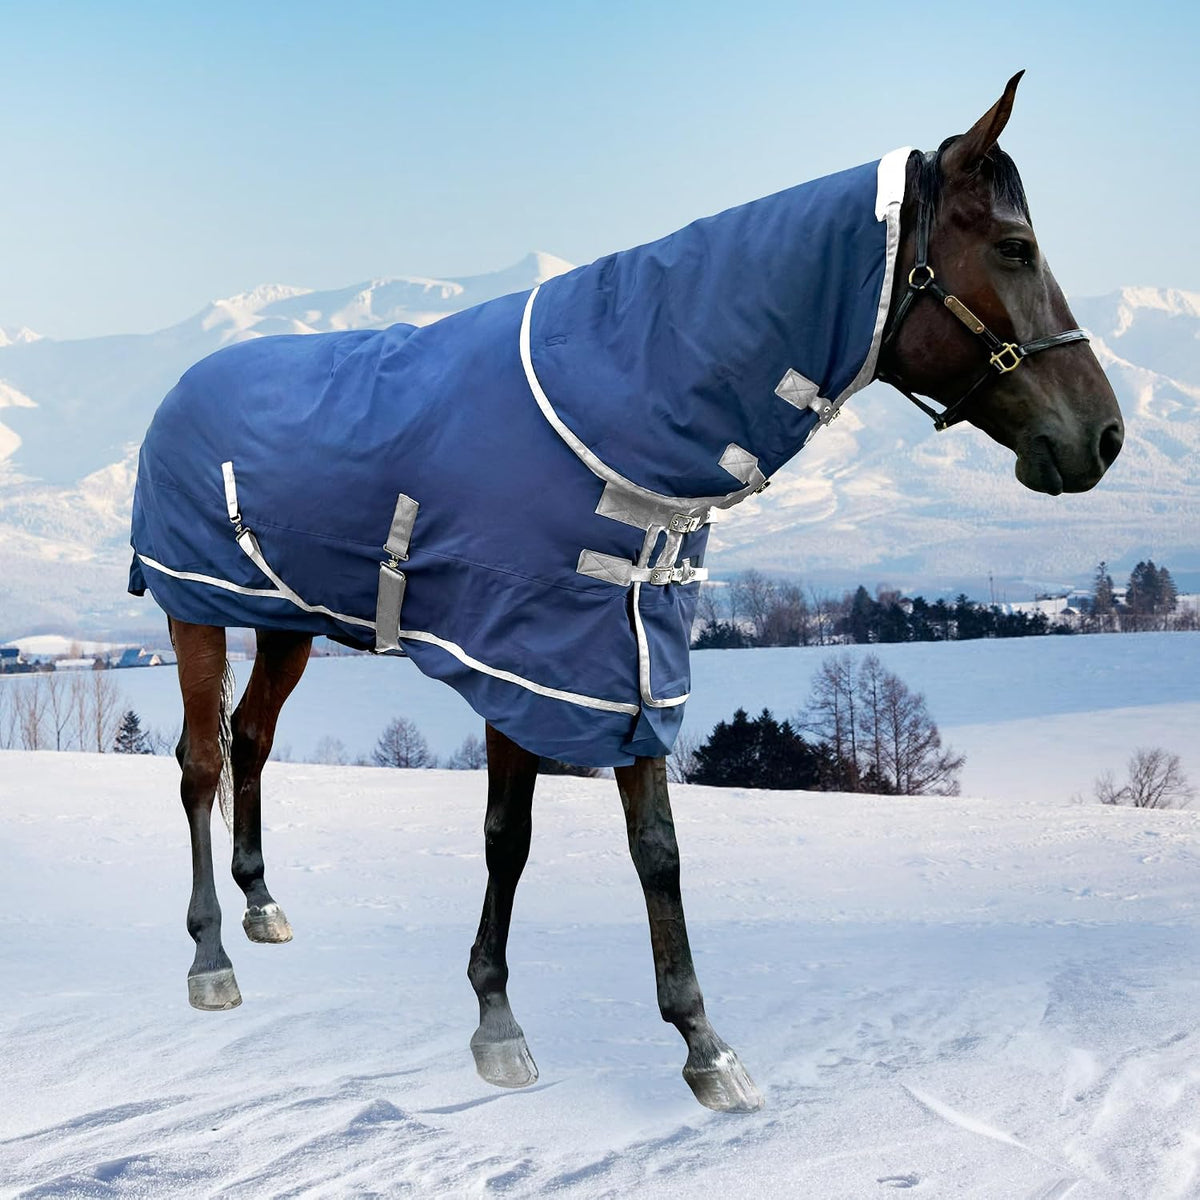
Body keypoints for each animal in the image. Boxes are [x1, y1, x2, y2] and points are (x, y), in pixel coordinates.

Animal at [129, 72, 1122, 1114]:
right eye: (1015, 248)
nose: (1103, 436)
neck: (615, 406)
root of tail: (182, 385)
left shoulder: (633, 656)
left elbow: (658, 848)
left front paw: (703, 1044)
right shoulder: (523, 662)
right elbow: (509, 836)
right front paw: (498, 1022)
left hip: (286, 621)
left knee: (251, 740)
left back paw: (262, 904)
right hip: (192, 607)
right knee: (200, 762)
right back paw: (210, 958)